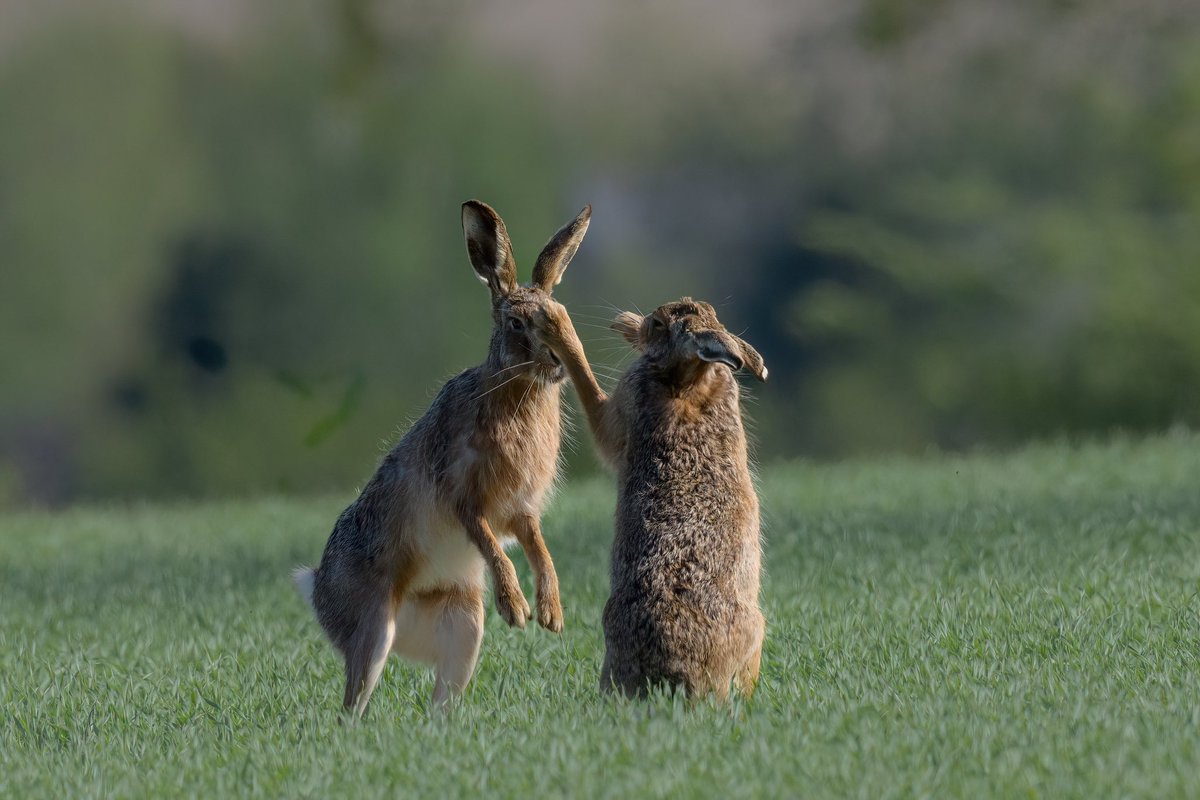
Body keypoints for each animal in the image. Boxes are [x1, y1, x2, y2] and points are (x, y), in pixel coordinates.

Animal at [293, 199, 591, 715]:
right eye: (516, 324)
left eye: (559, 314)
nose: (559, 361)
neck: (514, 388)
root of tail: (319, 588)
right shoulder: (461, 495)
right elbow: (490, 542)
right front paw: (517, 610)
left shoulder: (521, 509)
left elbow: (537, 547)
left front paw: (551, 614)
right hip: (375, 628)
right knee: (354, 703)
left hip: (463, 625)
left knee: (441, 695)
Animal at [534, 296, 768, 700]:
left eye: (658, 324)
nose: (642, 323)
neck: (687, 383)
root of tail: (679, 675)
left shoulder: (622, 409)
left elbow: (590, 393)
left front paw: (559, 326)